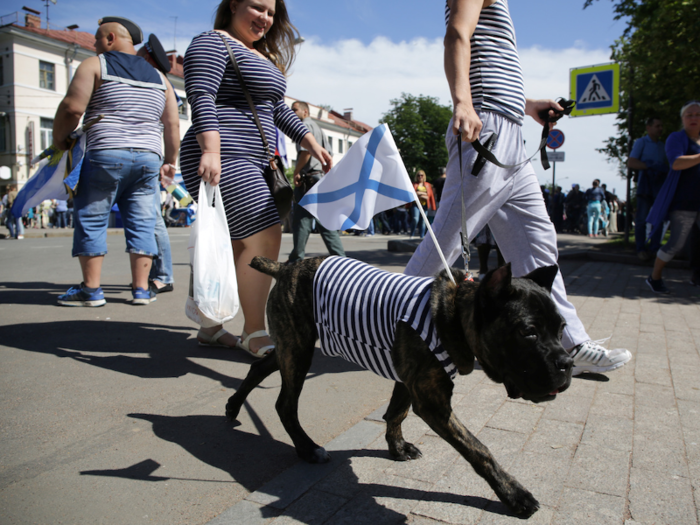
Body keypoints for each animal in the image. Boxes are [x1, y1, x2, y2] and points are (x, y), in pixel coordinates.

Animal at [227, 256, 572, 516]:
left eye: (562, 328)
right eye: (528, 333)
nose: (567, 363)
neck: (451, 315)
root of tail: (287, 267)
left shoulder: (409, 381)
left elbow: (396, 413)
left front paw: (397, 448)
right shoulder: (434, 403)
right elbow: (479, 449)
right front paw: (514, 494)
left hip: (292, 346)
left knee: (260, 366)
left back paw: (233, 407)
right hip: (298, 350)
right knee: (285, 404)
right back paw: (307, 448)